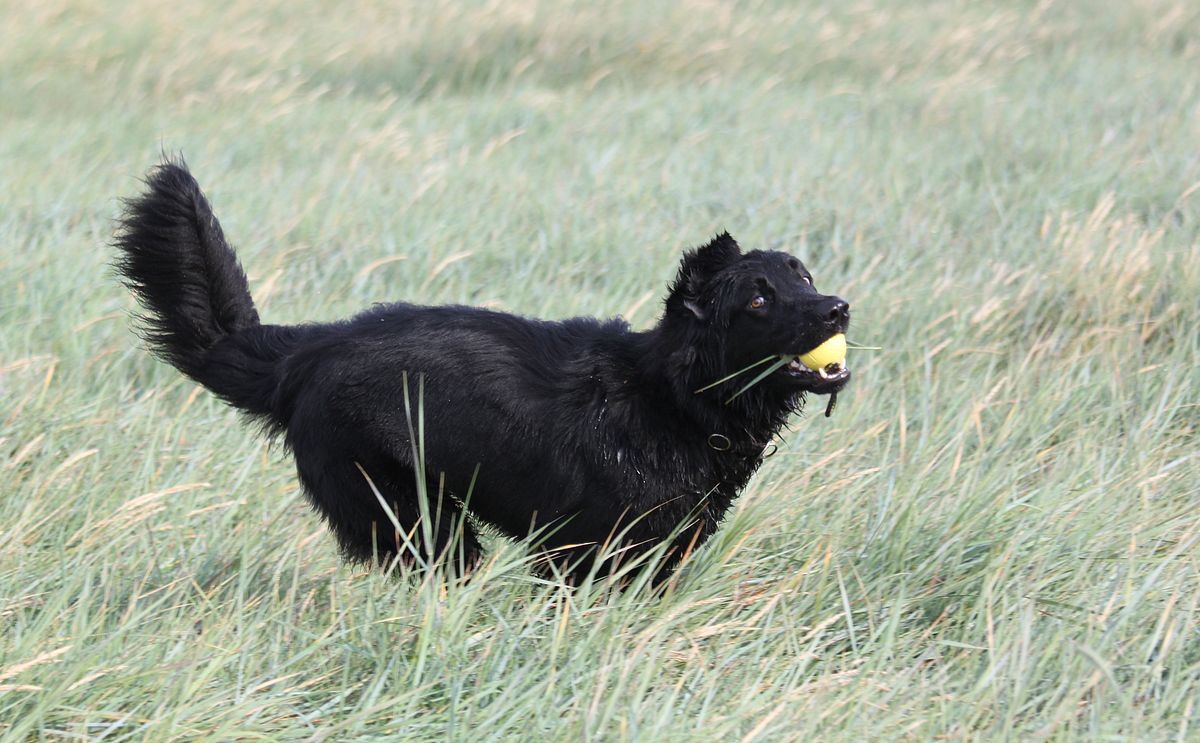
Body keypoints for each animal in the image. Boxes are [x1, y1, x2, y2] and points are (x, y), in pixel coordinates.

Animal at [114, 162, 851, 583]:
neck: (671, 397)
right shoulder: (577, 555)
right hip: (419, 521)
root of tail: (309, 350)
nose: (839, 307)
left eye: (805, 278)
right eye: (757, 299)